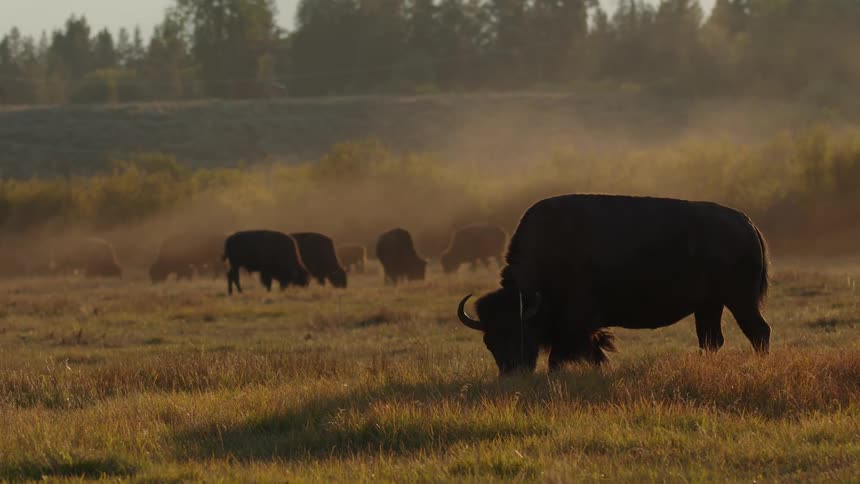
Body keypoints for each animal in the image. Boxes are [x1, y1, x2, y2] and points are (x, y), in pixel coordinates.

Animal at [457, 194, 771, 375]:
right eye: (489, 341)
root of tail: (747, 223)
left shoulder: (576, 324)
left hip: (739, 300)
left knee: (758, 331)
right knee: (711, 339)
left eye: (520, 333)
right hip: (709, 305)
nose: (512, 374)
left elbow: (567, 354)